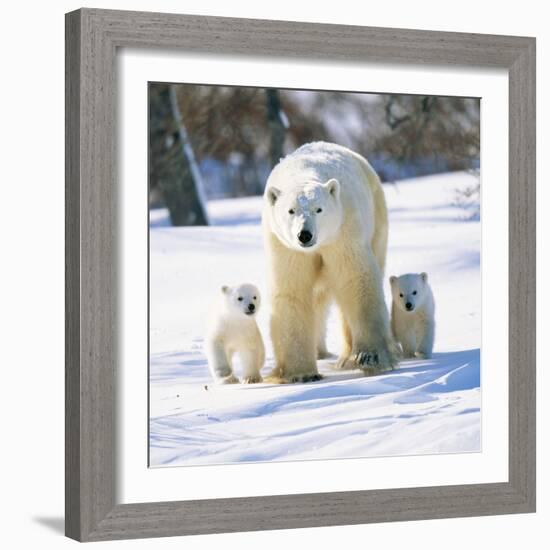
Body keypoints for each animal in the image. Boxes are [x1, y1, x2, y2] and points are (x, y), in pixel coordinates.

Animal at [264, 142, 396, 384]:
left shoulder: (343, 230)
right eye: (291, 210)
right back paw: (320, 352)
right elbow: (292, 290)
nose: (305, 235)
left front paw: (370, 356)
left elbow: (356, 279)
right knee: (317, 298)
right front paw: (301, 373)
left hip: (377, 218)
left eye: (319, 209)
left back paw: (346, 357)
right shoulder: (284, 246)